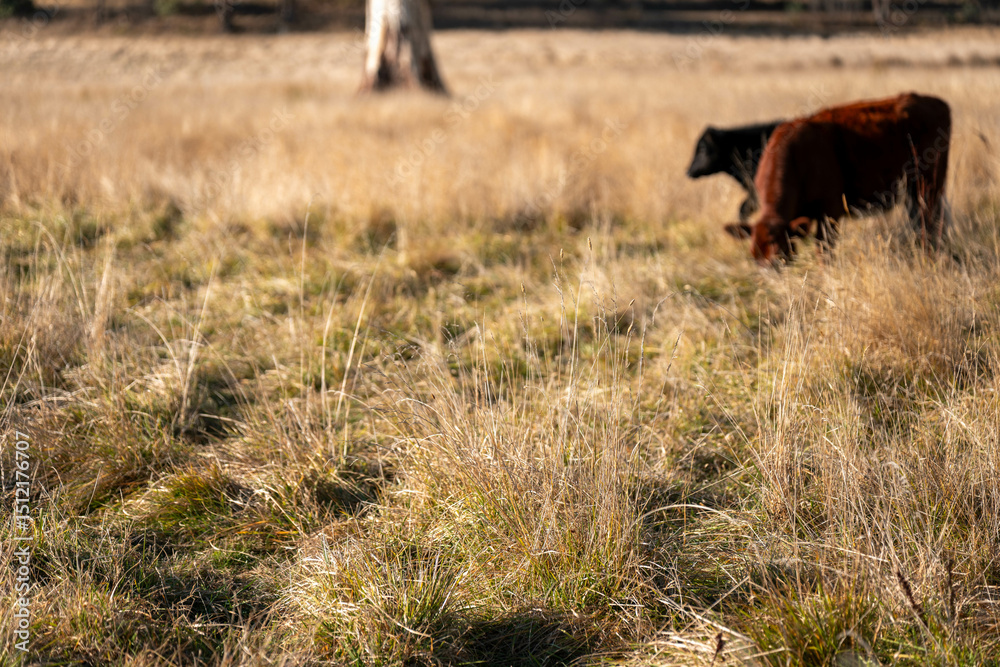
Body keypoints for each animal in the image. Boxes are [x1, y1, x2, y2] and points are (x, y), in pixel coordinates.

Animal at [724, 92, 951, 264]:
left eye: (779, 256)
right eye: (755, 257)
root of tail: (934, 101)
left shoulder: (830, 212)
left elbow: (824, 250)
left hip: (928, 186)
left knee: (929, 223)